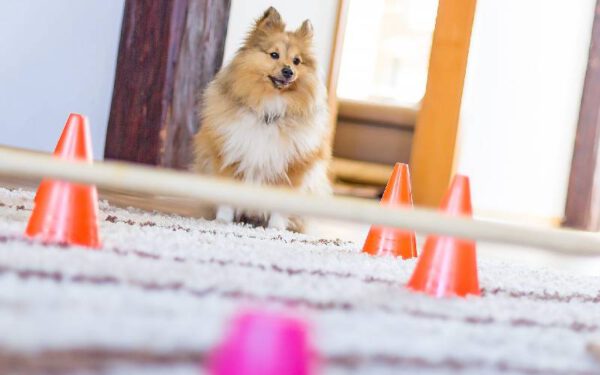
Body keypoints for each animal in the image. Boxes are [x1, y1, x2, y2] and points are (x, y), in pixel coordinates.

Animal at [193, 6, 330, 232]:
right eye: (274, 55)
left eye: (297, 61)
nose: (288, 71)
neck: (270, 107)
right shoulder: (229, 157)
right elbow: (226, 196)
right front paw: (222, 221)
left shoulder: (292, 168)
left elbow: (281, 205)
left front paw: (276, 229)